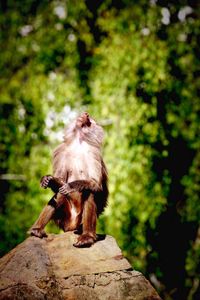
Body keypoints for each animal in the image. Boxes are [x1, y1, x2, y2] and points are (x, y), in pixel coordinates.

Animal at [28, 111, 108, 247]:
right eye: (87, 116)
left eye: (90, 120)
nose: (86, 113)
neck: (78, 143)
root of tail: (71, 227)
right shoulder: (61, 151)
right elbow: (60, 180)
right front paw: (48, 179)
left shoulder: (94, 153)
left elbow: (95, 183)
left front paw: (71, 186)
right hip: (64, 220)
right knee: (58, 195)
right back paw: (36, 230)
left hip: (79, 223)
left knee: (89, 192)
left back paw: (87, 237)